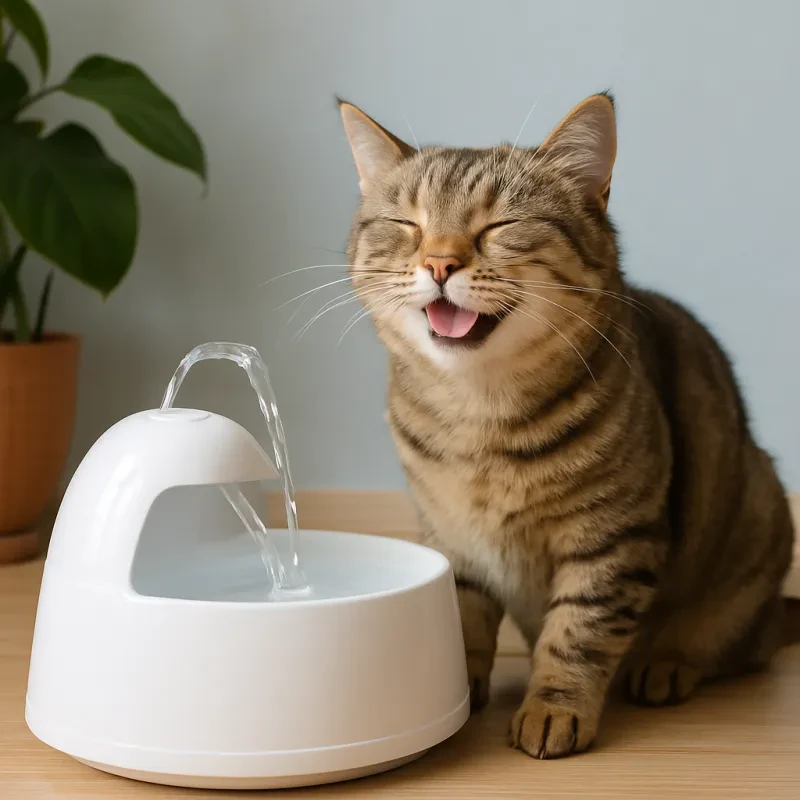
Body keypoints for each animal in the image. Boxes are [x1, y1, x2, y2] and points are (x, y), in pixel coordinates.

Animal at [339, 93, 794, 759]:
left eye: (499, 226)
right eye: (408, 225)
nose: (439, 262)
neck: (478, 418)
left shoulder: (612, 538)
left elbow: (578, 630)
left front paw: (553, 708)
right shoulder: (451, 536)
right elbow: (463, 617)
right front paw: (459, 689)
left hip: (753, 525)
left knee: (727, 646)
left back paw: (668, 664)